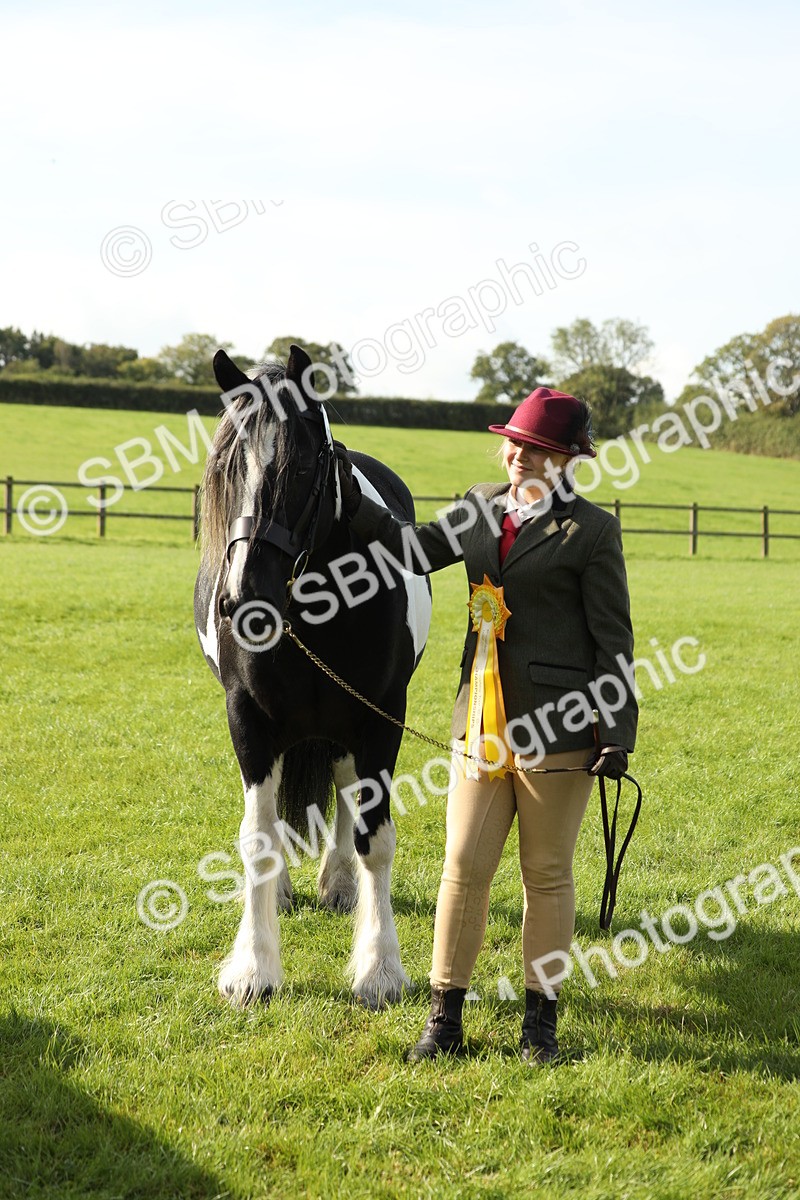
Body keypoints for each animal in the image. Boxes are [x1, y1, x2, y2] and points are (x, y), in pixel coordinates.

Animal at [194, 344, 432, 1008]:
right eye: (227, 469)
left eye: (301, 466)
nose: (243, 599)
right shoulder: (248, 720)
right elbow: (256, 837)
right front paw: (253, 968)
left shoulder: (380, 720)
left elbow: (375, 837)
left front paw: (380, 969)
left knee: (348, 795)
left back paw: (340, 884)